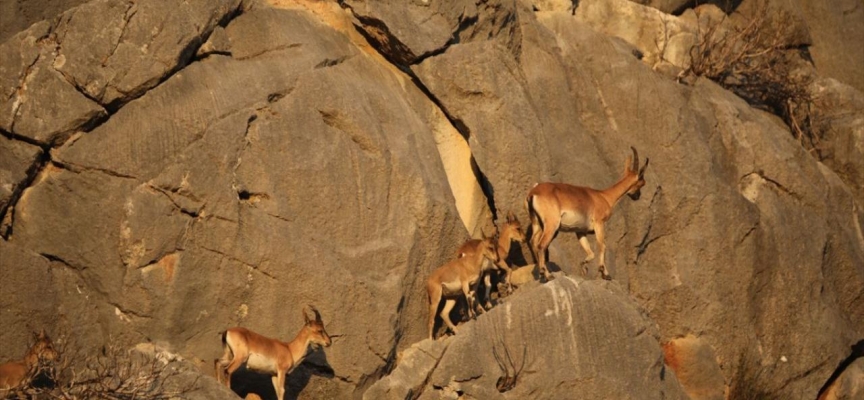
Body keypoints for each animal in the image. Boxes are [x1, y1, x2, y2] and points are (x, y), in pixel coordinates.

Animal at [528, 147, 648, 282]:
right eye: (642, 183)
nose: (637, 196)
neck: (604, 196)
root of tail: (533, 193)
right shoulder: (599, 223)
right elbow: (602, 246)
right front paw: (605, 273)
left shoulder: (580, 231)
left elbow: (590, 252)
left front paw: (584, 268)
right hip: (551, 225)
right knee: (541, 245)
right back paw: (548, 275)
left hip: (537, 224)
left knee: (533, 242)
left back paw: (541, 274)